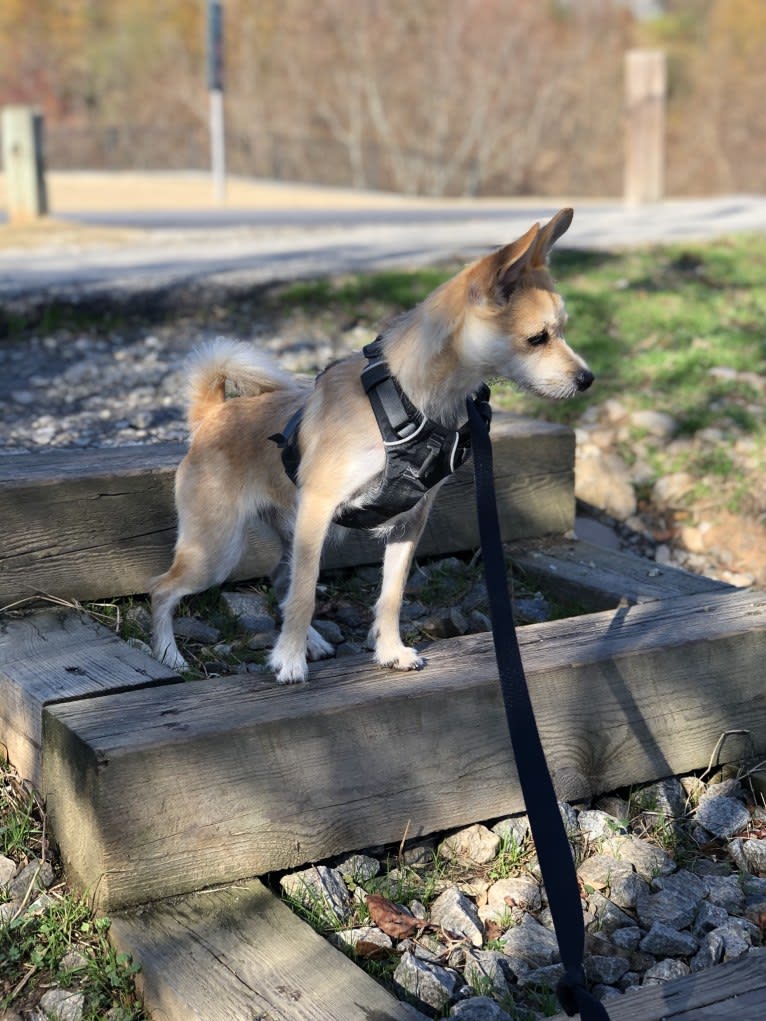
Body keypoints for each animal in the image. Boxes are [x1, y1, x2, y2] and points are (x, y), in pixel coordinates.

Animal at [151, 205, 592, 686]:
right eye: (537, 338)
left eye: (563, 331)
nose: (588, 378)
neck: (411, 399)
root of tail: (213, 413)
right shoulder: (319, 508)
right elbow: (307, 592)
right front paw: (288, 660)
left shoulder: (408, 523)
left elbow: (391, 594)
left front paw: (388, 649)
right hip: (218, 550)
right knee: (165, 589)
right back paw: (170, 655)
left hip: (279, 535)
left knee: (279, 582)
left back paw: (311, 641)